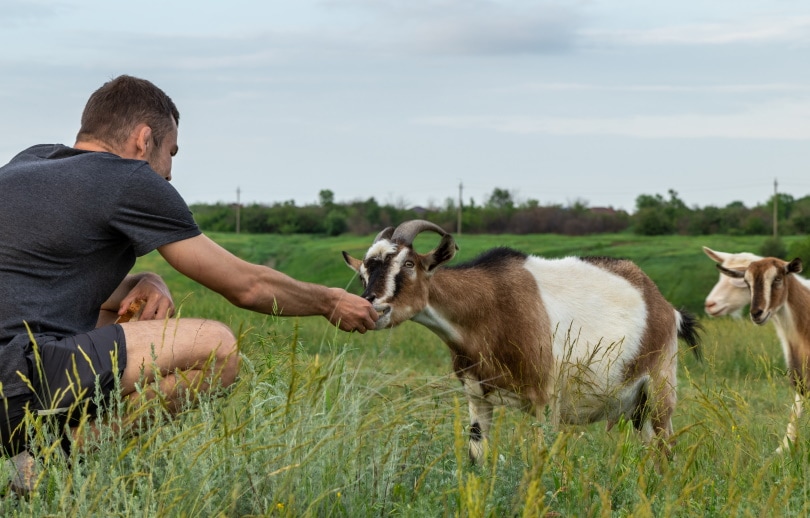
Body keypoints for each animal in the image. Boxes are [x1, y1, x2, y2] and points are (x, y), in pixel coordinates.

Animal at [344, 219, 696, 464]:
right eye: (363, 273)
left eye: (408, 263)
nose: (375, 307)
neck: (489, 309)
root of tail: (666, 307)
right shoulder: (478, 397)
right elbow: (476, 458)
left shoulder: (546, 402)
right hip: (637, 408)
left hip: (661, 389)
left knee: (667, 449)